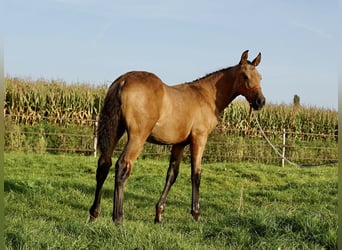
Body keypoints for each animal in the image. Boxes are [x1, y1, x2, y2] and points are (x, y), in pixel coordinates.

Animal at [89, 49, 266, 224]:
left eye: (260, 77)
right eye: (245, 76)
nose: (260, 101)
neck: (206, 96)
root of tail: (123, 81)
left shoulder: (179, 144)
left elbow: (172, 175)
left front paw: (159, 214)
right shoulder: (199, 139)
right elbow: (196, 174)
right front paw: (196, 213)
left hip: (116, 130)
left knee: (104, 164)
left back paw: (94, 214)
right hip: (137, 137)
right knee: (122, 166)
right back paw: (118, 218)